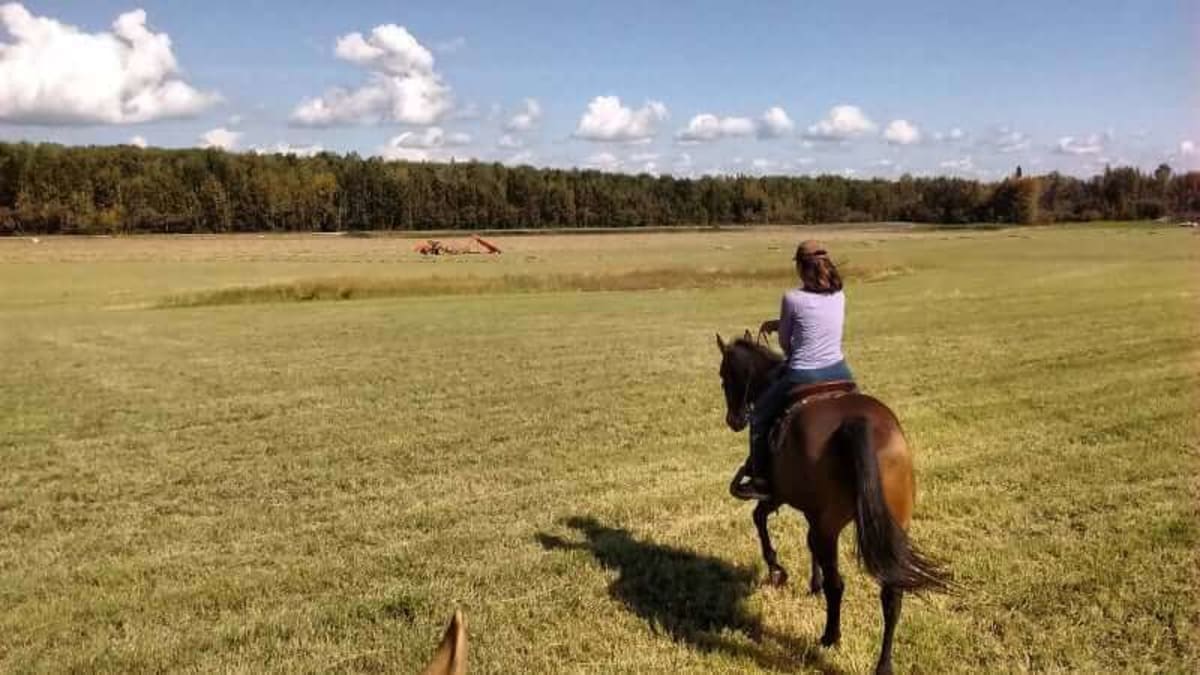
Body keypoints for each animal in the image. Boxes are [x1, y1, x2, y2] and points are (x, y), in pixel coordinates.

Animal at [716, 332, 951, 675]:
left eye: (724, 377)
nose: (733, 420)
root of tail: (856, 422)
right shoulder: (811, 512)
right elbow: (806, 542)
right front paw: (810, 582)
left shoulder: (778, 495)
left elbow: (759, 519)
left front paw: (777, 570)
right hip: (894, 525)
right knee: (891, 594)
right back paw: (883, 664)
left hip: (830, 526)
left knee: (838, 584)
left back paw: (830, 636)